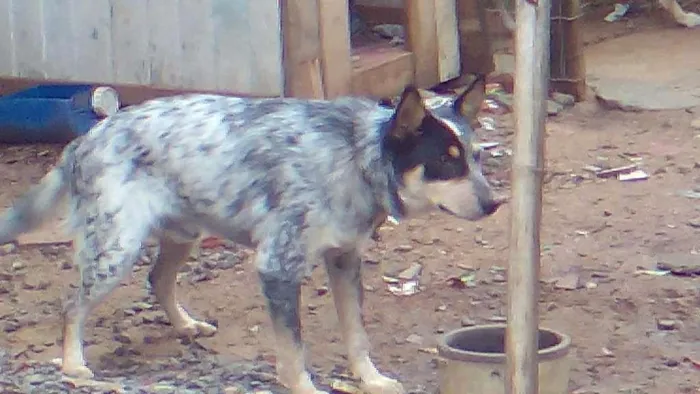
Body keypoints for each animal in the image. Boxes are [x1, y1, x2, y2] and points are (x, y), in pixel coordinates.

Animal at [0, 77, 504, 394]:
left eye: (477, 157)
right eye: (445, 162)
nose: (495, 204)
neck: (355, 157)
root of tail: (83, 141)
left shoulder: (345, 261)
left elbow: (357, 335)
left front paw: (371, 380)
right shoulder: (278, 268)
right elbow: (294, 351)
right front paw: (305, 388)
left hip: (183, 236)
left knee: (157, 280)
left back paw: (185, 326)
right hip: (115, 249)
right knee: (71, 307)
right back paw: (73, 365)